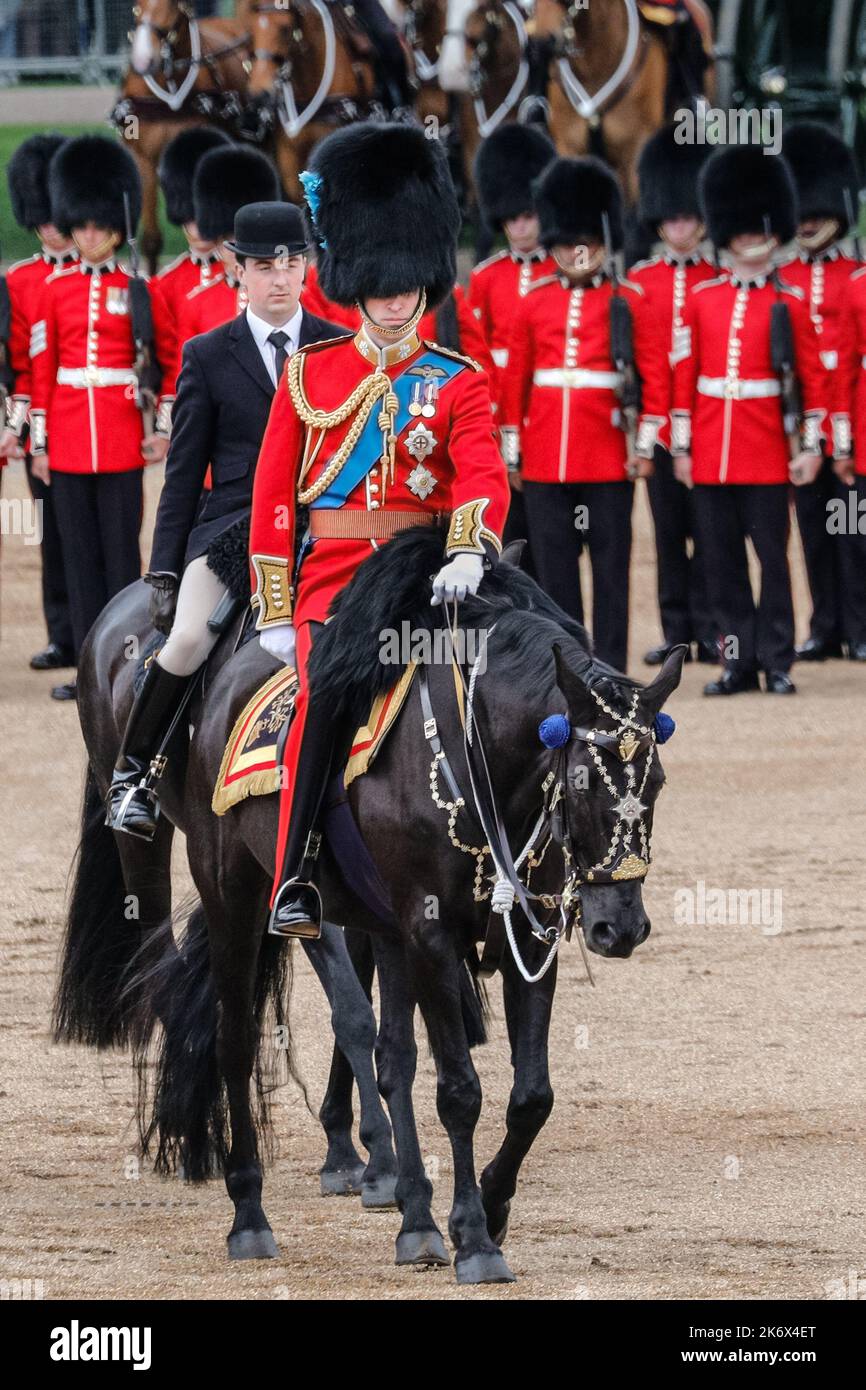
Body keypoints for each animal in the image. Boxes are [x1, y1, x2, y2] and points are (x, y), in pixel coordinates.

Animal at [52, 580, 400, 1208]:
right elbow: (354, 1012)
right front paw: (379, 1160)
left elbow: (359, 1007)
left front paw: (344, 1148)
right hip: (144, 843)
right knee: (162, 966)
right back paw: (190, 1136)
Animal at [121, 528, 685, 1283]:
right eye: (582, 782)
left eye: (655, 781)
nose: (618, 926)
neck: (483, 756)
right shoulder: (430, 933)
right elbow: (461, 1090)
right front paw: (475, 1238)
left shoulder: (524, 935)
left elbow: (530, 1094)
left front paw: (491, 1210)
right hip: (234, 896)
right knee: (237, 1039)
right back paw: (251, 1216)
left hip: (378, 925)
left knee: (391, 1057)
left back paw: (415, 1219)